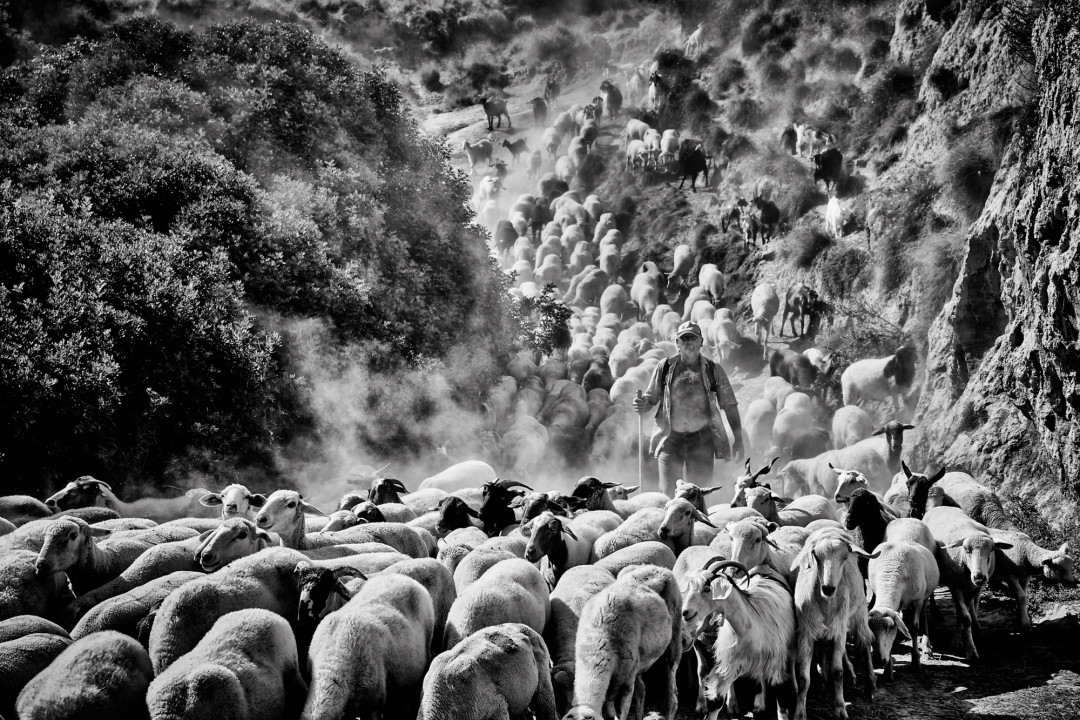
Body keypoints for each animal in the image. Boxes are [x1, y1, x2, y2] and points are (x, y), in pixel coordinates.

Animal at [679, 559, 797, 718]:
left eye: (707, 588)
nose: (685, 612)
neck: (751, 625)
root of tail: (764, 566)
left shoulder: (775, 664)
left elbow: (782, 705)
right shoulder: (731, 664)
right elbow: (717, 701)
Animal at [790, 528, 877, 720]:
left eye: (845, 557)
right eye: (816, 556)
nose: (828, 588)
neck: (825, 603)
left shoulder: (839, 631)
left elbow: (838, 672)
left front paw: (840, 709)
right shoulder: (806, 633)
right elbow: (803, 679)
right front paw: (800, 713)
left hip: (860, 612)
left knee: (866, 643)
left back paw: (870, 685)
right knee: (826, 647)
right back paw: (825, 682)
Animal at [866, 540, 940, 680]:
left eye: (889, 627)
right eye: (870, 630)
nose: (878, 661)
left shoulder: (917, 601)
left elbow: (914, 627)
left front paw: (916, 662)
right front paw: (888, 671)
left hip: (924, 597)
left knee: (923, 616)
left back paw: (926, 646)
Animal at [922, 506, 1013, 662]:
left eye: (992, 549)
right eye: (966, 549)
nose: (979, 577)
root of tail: (940, 506)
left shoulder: (972, 589)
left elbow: (963, 614)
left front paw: (958, 640)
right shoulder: (955, 586)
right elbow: (965, 617)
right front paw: (970, 650)